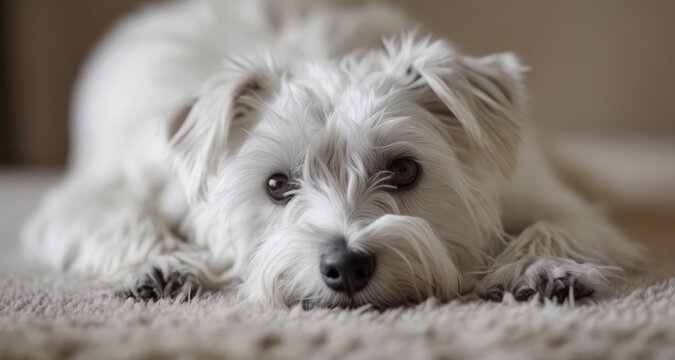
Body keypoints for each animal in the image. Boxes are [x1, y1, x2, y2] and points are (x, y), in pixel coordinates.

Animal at [22, 0, 644, 310]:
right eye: (276, 184)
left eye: (404, 169)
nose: (346, 266)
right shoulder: (99, 190)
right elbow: (119, 217)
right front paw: (162, 264)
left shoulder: (544, 195)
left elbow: (558, 223)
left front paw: (545, 267)